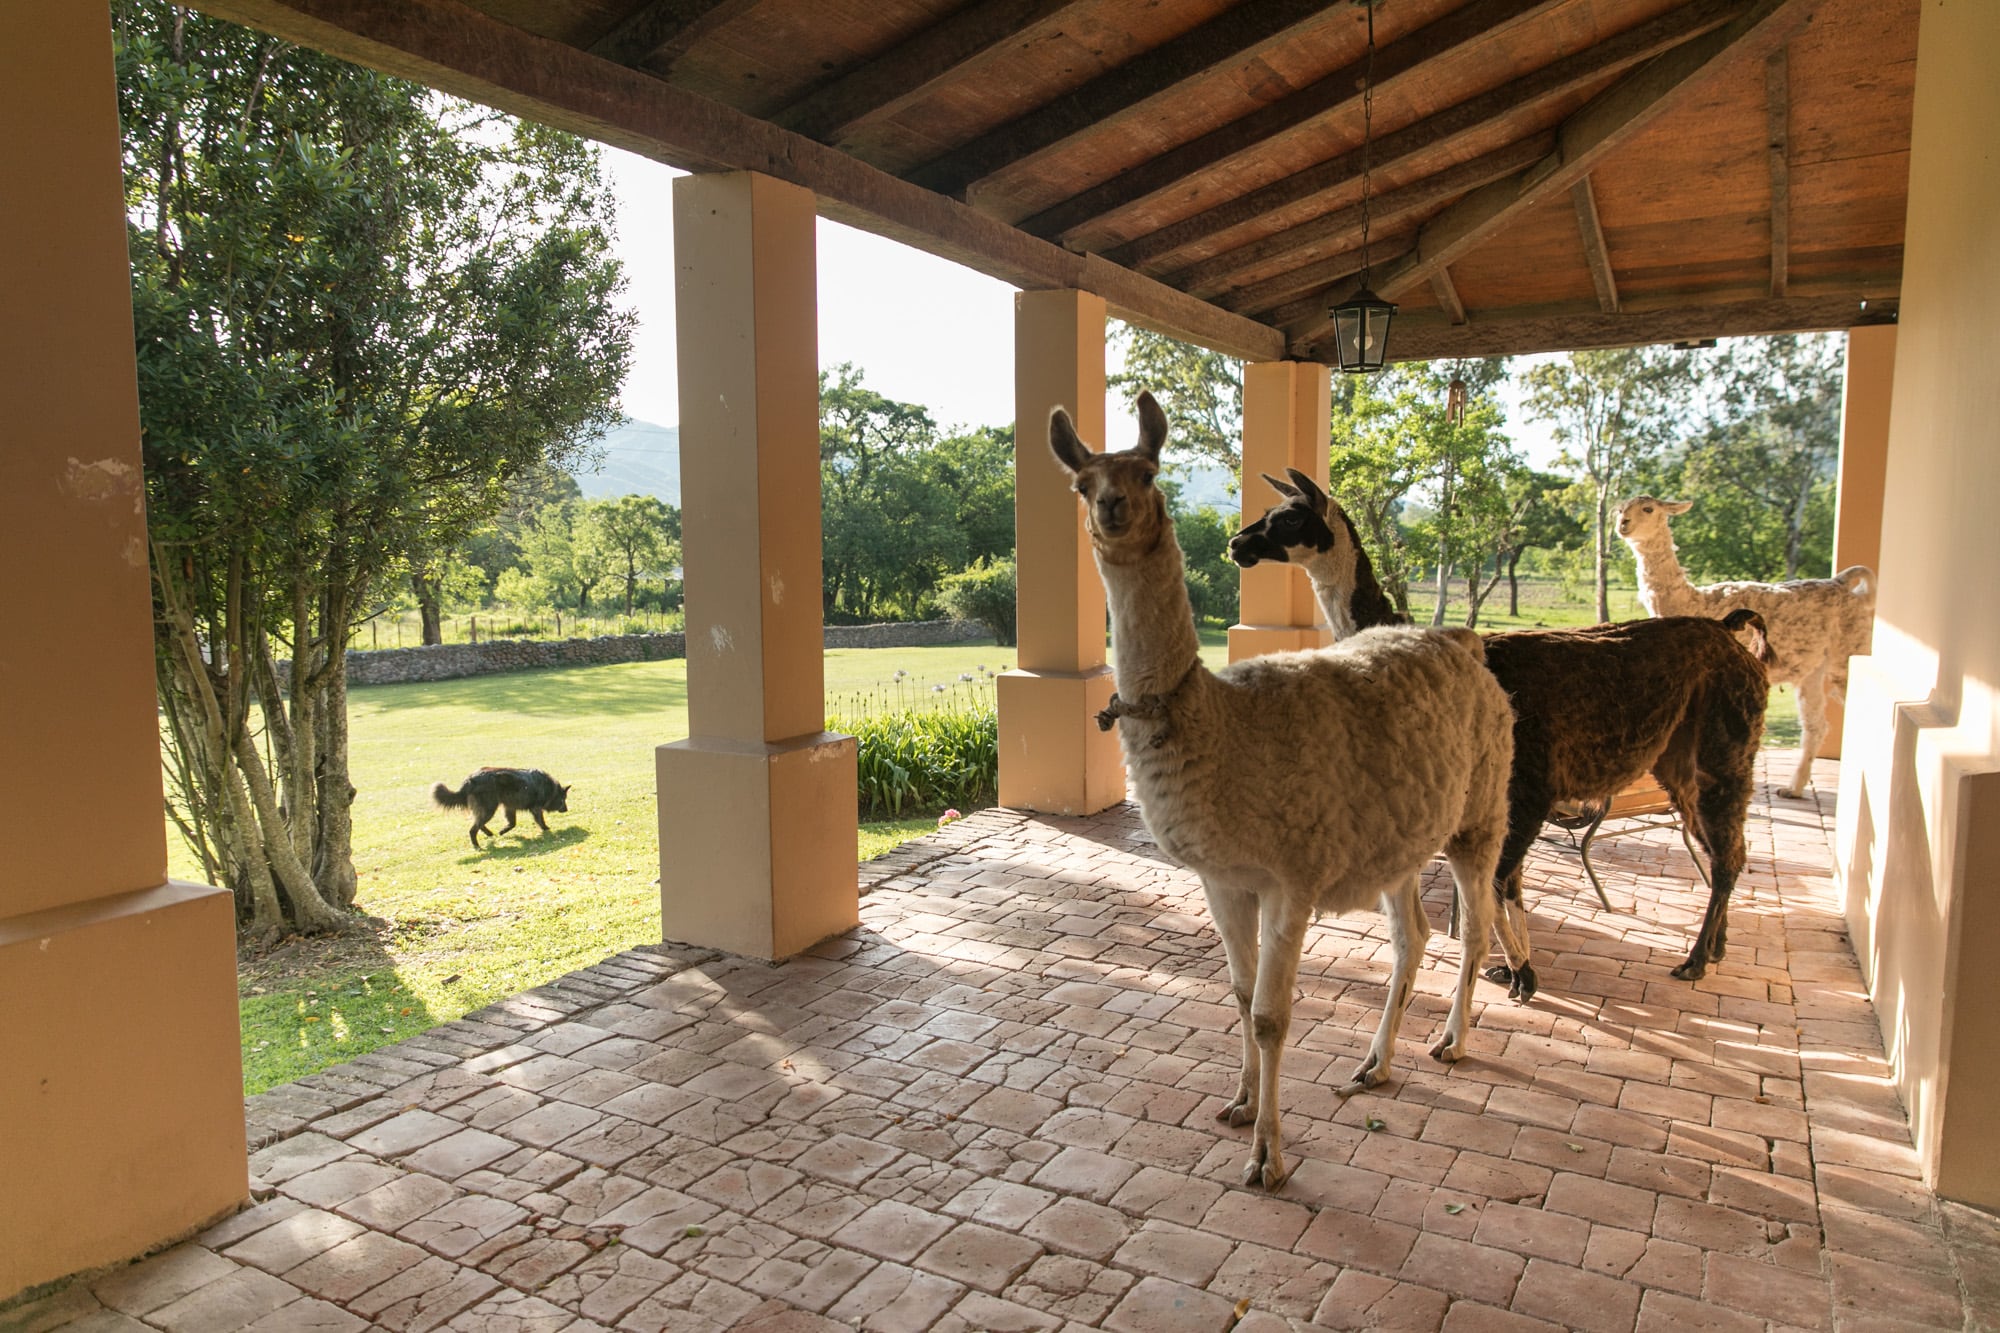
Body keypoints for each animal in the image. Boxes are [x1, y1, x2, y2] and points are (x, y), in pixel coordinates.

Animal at [432, 764, 572, 844]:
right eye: (563, 799)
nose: (566, 810)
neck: (550, 788)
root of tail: (469, 780)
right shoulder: (536, 808)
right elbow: (540, 820)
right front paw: (546, 829)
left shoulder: (509, 807)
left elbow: (512, 823)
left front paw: (502, 831)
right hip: (489, 809)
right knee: (473, 829)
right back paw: (476, 846)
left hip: (486, 810)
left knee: (478, 824)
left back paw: (489, 834)